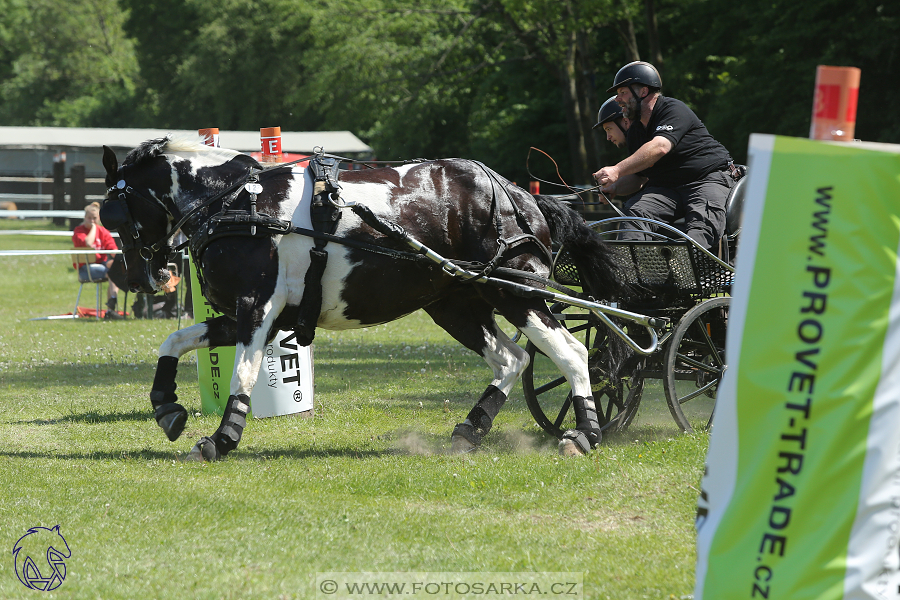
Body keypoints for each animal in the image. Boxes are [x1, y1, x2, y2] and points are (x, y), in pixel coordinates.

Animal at [96, 137, 620, 460]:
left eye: (115, 214)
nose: (143, 279)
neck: (237, 203)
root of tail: (519, 195)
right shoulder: (248, 315)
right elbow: (174, 340)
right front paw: (166, 406)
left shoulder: (256, 309)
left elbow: (242, 372)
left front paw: (222, 438)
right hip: (454, 304)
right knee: (512, 359)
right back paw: (470, 430)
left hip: (514, 292)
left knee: (571, 352)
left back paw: (585, 433)